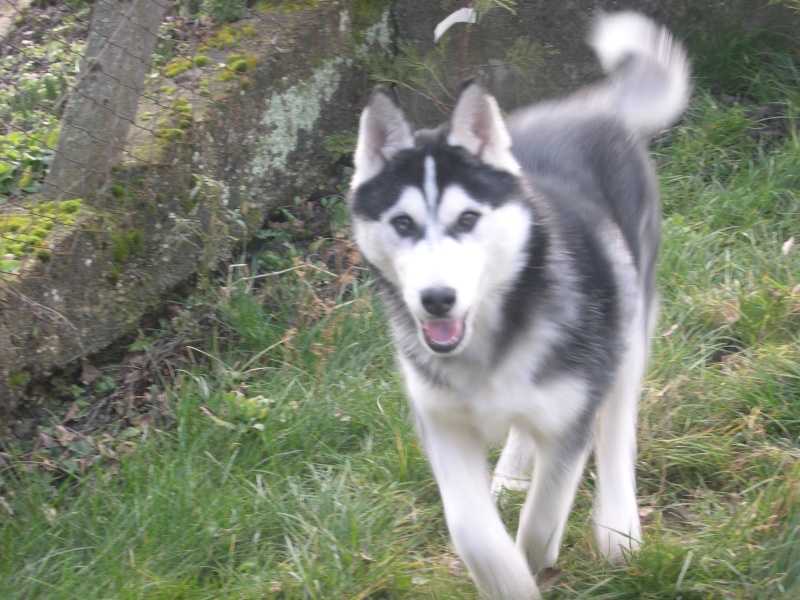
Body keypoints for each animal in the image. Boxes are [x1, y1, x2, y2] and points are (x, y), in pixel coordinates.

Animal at [346, 11, 692, 596]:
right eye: (403, 223)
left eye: (467, 219)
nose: (437, 300)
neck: (489, 341)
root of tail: (585, 108)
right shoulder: (441, 422)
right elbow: (474, 532)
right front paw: (505, 573)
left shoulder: (571, 418)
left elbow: (543, 515)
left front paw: (536, 561)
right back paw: (510, 474)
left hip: (628, 318)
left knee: (617, 423)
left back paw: (618, 525)